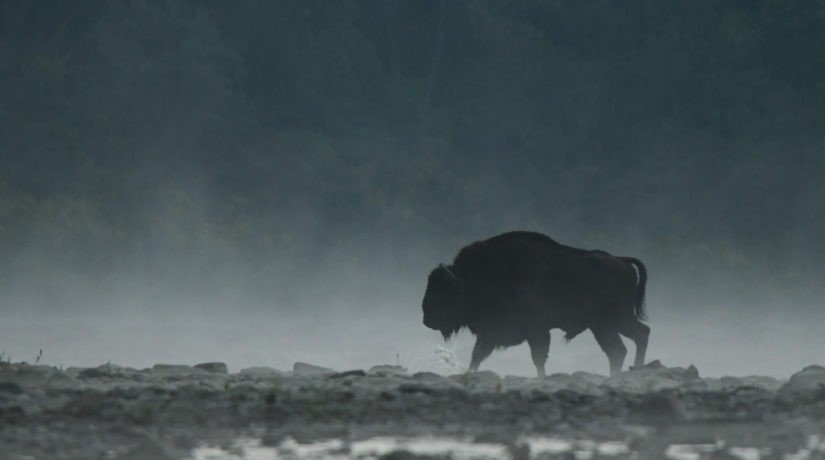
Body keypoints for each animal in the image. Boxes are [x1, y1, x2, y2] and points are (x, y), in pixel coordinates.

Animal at [422, 230, 648, 378]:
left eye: (443, 293)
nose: (426, 319)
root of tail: (622, 261)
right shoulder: (490, 334)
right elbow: (477, 355)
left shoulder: (536, 330)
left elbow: (538, 358)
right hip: (601, 326)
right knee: (620, 348)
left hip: (614, 321)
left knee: (638, 335)